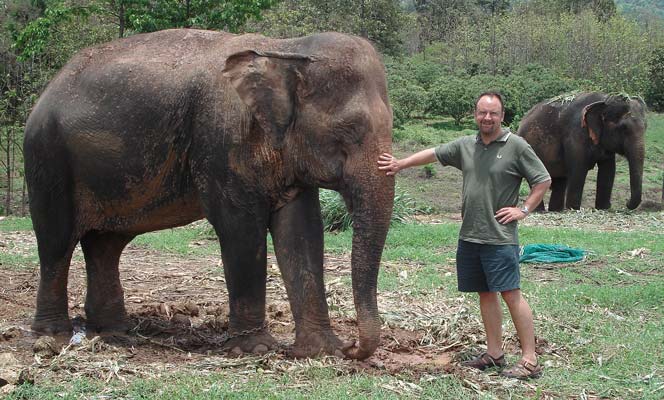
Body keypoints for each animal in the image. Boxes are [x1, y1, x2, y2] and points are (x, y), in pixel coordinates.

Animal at [23, 29, 394, 360]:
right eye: (350, 129)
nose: (353, 348)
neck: (284, 48)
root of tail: (49, 88)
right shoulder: (220, 141)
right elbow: (240, 230)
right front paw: (256, 350)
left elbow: (301, 232)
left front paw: (321, 350)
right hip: (48, 159)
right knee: (56, 242)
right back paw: (53, 336)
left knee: (105, 244)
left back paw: (114, 332)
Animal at [517, 92, 647, 211]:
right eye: (623, 128)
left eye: (646, 127)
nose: (626, 203)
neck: (604, 100)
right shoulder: (575, 134)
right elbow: (578, 169)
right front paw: (573, 209)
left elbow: (608, 170)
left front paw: (603, 208)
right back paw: (540, 211)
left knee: (560, 181)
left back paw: (555, 210)